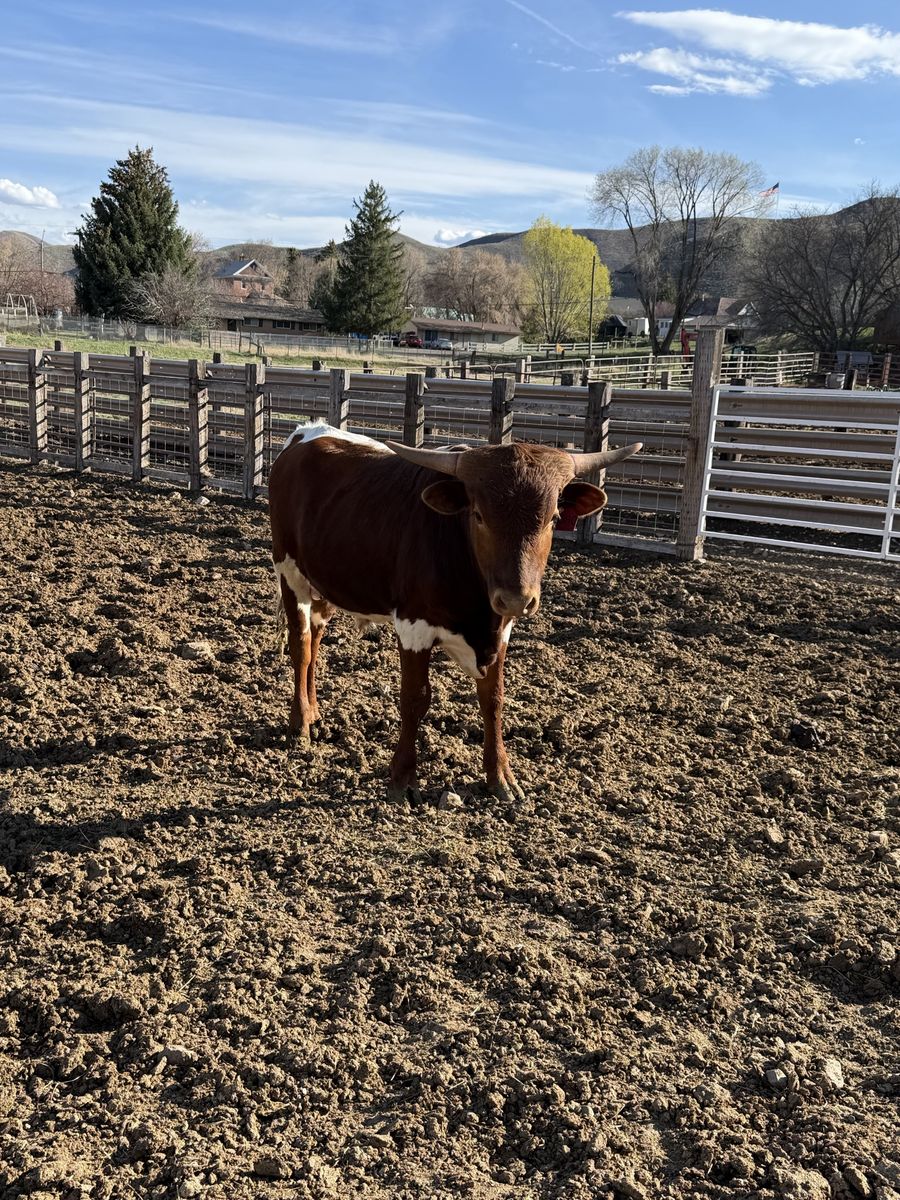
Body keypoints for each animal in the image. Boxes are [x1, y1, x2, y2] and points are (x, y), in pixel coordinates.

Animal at [268, 422, 641, 801]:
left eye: (553, 518)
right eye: (478, 515)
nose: (516, 599)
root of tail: (307, 432)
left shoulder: (501, 631)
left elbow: (493, 700)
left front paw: (500, 776)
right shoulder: (413, 626)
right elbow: (415, 698)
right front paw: (403, 778)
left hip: (324, 583)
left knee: (315, 641)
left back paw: (315, 712)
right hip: (290, 573)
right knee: (301, 646)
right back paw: (301, 721)